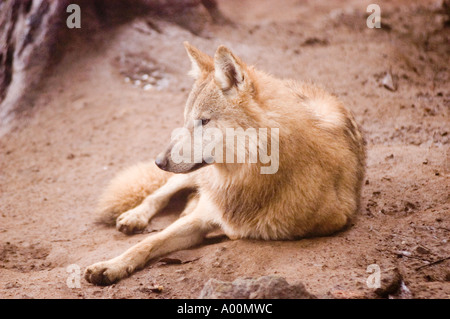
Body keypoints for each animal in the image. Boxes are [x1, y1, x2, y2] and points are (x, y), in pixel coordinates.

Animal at [84, 42, 366, 284]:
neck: (243, 179)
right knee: (161, 192)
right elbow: (148, 242)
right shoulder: (201, 217)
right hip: (189, 176)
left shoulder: (335, 220)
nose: (158, 161)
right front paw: (110, 266)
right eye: (186, 120)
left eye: (204, 121)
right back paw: (135, 216)